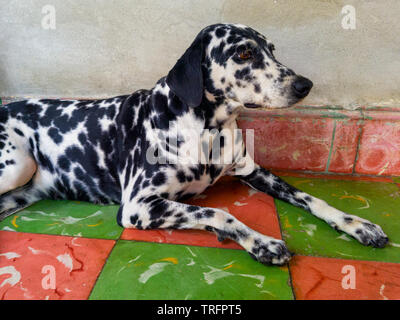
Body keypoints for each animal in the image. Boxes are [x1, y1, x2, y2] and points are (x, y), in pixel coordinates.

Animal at [0, 23, 388, 264]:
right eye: (243, 53)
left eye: (272, 50)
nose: (305, 85)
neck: (208, 130)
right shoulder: (138, 206)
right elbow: (219, 212)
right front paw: (261, 241)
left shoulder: (255, 171)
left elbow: (312, 198)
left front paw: (356, 224)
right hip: (18, 165)